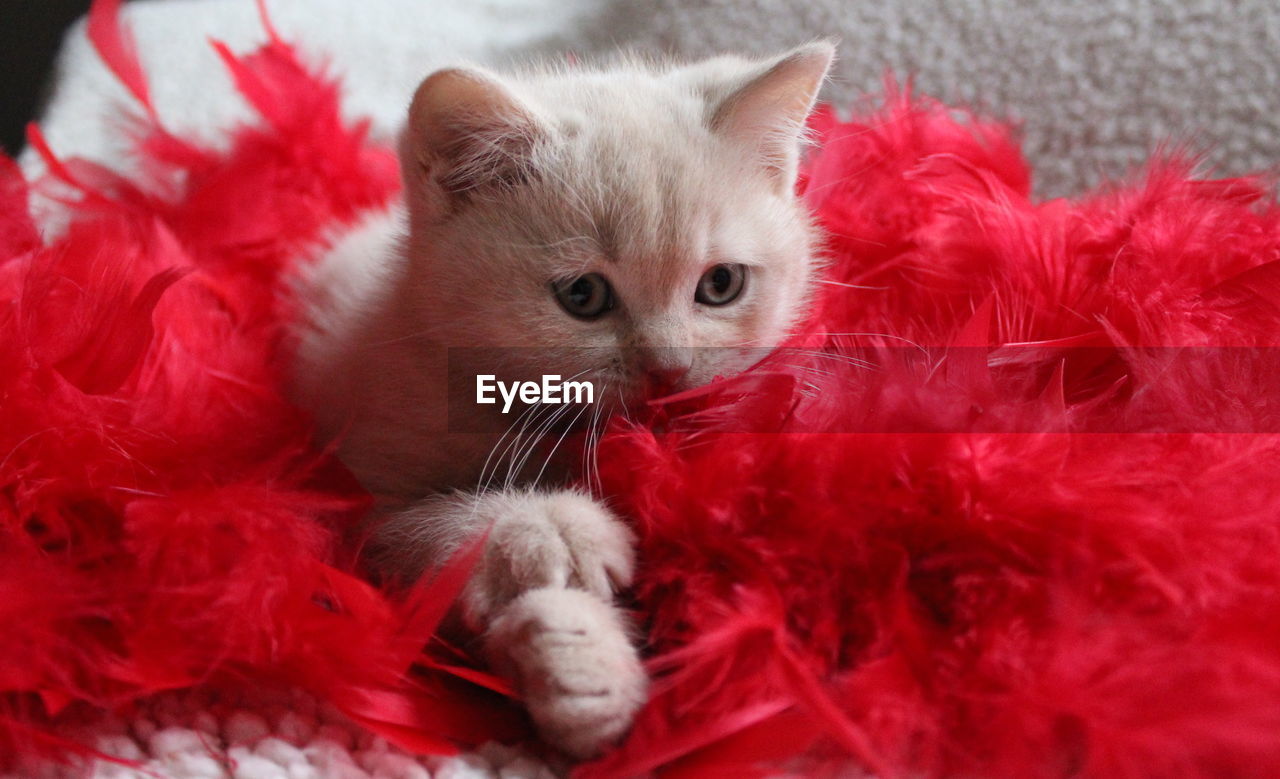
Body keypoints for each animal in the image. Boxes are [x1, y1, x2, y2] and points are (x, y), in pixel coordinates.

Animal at [290, 44, 834, 757]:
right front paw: (548, 544)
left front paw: (582, 664)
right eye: (583, 296)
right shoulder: (361, 497)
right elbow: (420, 531)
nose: (668, 368)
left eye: (721, 284)